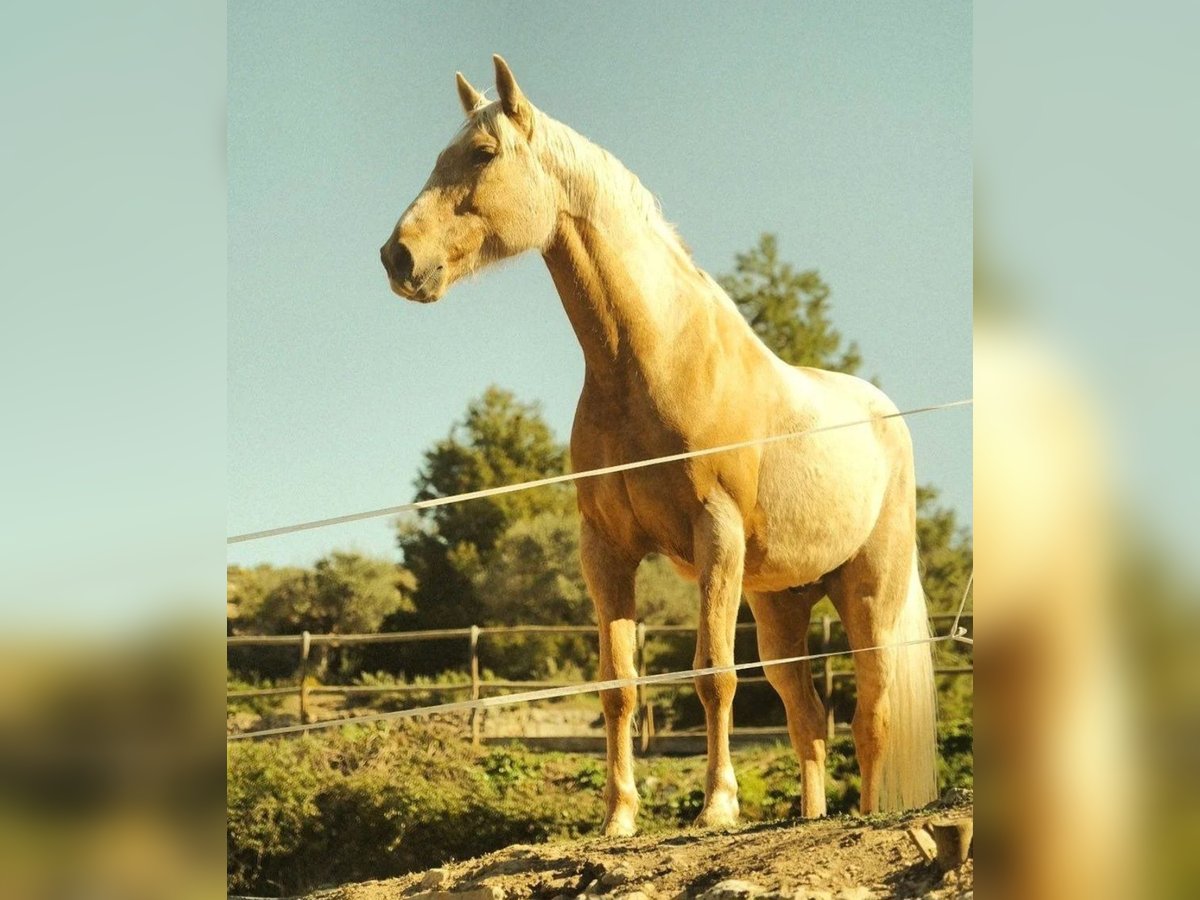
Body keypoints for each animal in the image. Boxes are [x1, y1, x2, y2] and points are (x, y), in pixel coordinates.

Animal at [376, 56, 936, 835]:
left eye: (483, 154)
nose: (399, 257)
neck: (651, 363)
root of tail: (887, 416)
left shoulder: (716, 535)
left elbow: (712, 673)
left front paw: (718, 807)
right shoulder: (605, 547)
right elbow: (618, 683)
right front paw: (619, 817)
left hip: (868, 596)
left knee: (872, 715)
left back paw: (871, 814)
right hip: (780, 605)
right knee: (808, 716)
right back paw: (812, 815)